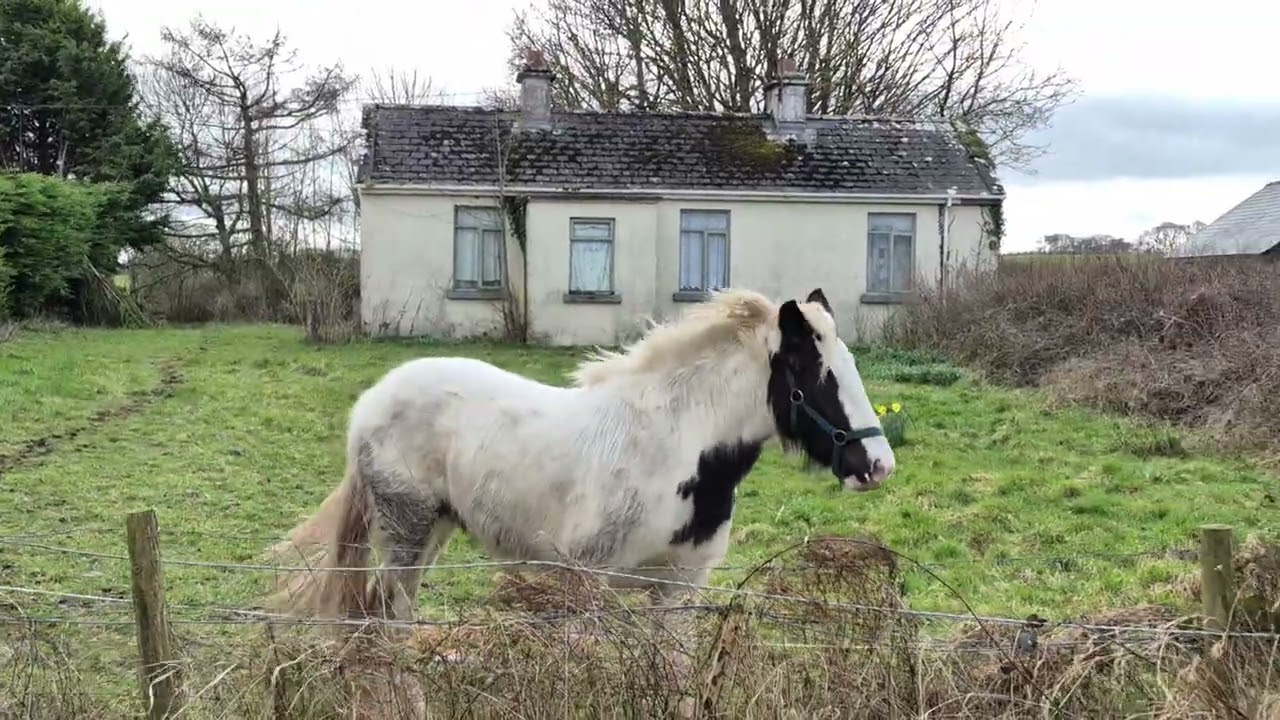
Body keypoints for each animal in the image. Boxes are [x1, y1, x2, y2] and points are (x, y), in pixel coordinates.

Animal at [266, 287, 896, 629]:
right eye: (815, 374)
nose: (877, 464)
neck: (677, 451)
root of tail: (370, 404)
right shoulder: (587, 584)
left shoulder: (677, 593)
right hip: (406, 531)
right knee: (387, 616)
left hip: (435, 530)